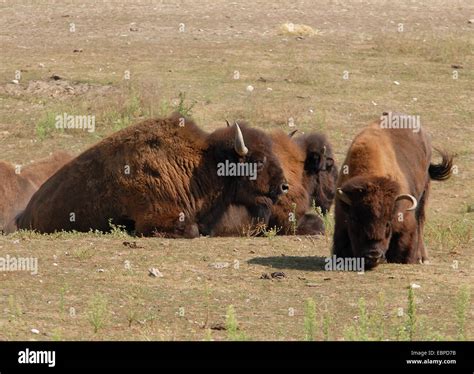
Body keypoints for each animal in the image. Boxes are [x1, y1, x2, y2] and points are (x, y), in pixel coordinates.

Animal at [332, 114, 454, 268]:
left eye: (388, 223)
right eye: (355, 220)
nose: (373, 255)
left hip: (424, 194)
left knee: (420, 222)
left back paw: (422, 258)